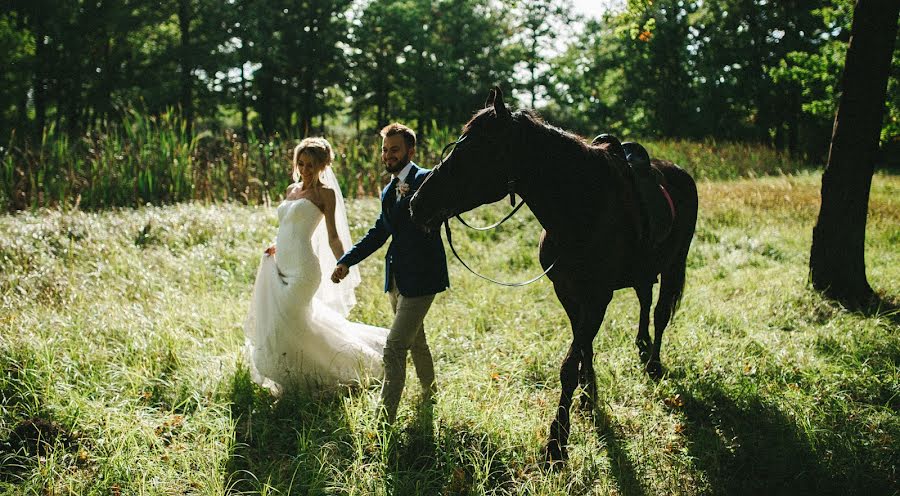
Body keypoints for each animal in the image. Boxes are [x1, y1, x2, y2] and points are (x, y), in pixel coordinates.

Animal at [412, 87, 700, 464]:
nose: (417, 202)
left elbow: (570, 362)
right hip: (644, 270)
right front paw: (589, 398)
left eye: (476, 149)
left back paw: (653, 364)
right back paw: (641, 347)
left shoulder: (597, 297)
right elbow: (584, 349)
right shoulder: (568, 293)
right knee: (644, 300)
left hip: (674, 263)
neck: (581, 209)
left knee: (661, 312)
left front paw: (557, 442)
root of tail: (680, 173)